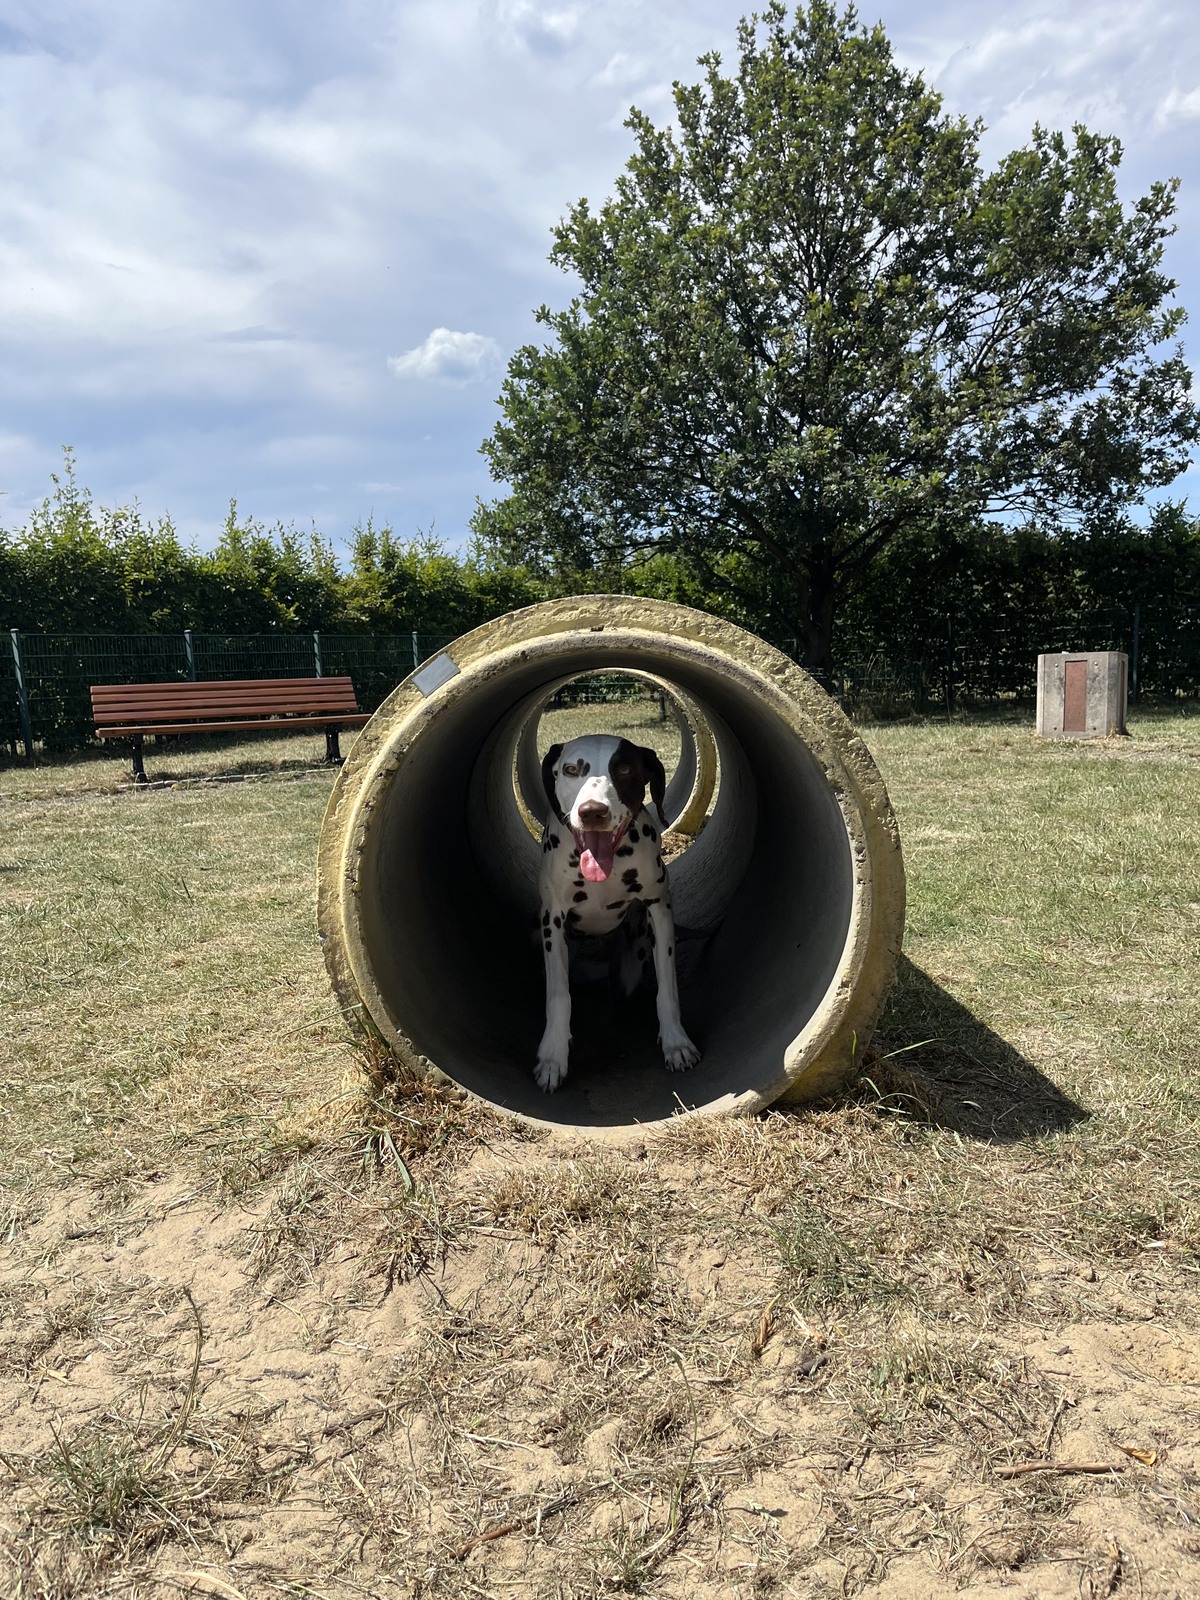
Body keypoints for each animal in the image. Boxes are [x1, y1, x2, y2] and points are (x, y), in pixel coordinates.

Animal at [537, 732, 704, 1088]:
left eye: (625, 769)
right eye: (571, 770)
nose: (592, 812)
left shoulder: (659, 909)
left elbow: (667, 988)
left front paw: (676, 1043)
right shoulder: (551, 921)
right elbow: (559, 995)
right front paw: (553, 1056)